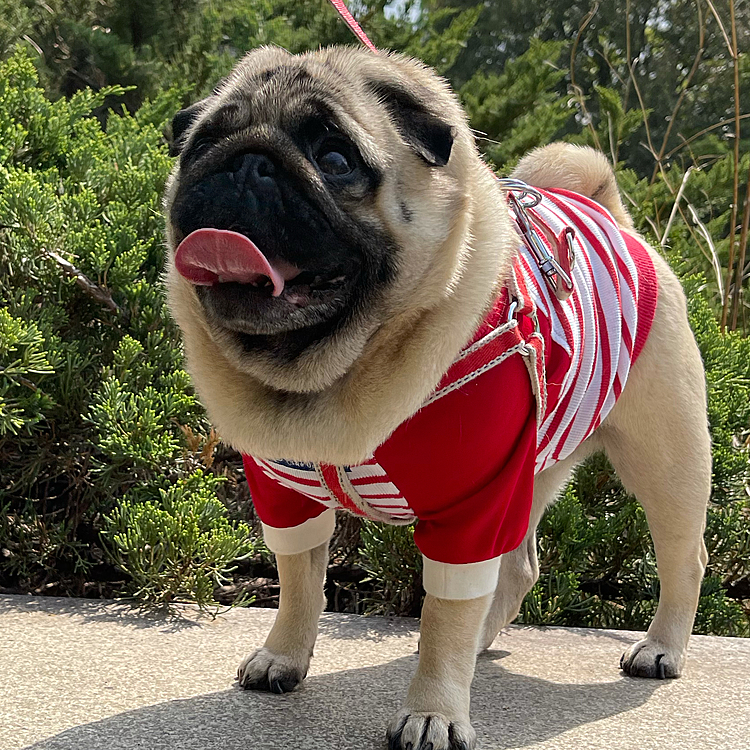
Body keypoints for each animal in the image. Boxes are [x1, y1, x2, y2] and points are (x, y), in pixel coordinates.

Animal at [163, 47, 712, 750]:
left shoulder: (471, 507)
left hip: (665, 462)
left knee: (683, 558)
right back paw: (485, 641)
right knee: (519, 567)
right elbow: (298, 582)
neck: (329, 376)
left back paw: (661, 648)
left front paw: (433, 710)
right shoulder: (284, 495)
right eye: (203, 144)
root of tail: (610, 217)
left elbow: (443, 616)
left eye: (336, 158)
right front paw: (283, 655)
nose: (248, 161)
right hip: (531, 467)